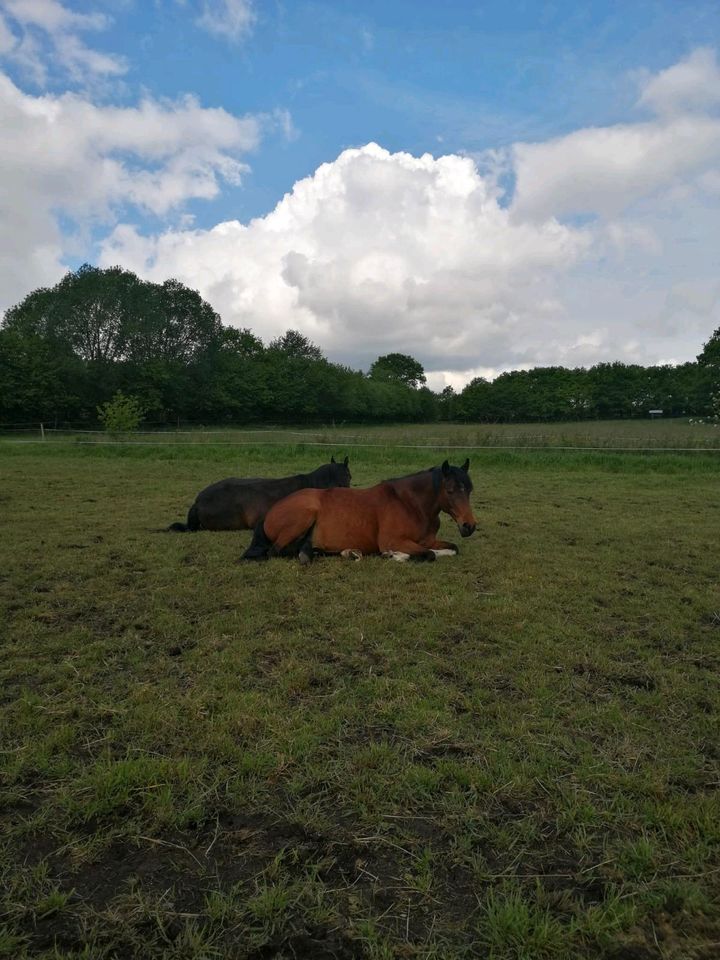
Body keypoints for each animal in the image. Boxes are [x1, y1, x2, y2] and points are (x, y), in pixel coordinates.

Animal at [242, 460, 478, 564]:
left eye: (470, 490)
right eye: (450, 491)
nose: (469, 526)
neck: (410, 505)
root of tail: (271, 511)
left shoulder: (428, 540)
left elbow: (451, 548)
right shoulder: (393, 540)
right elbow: (428, 554)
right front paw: (393, 555)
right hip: (304, 515)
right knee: (275, 551)